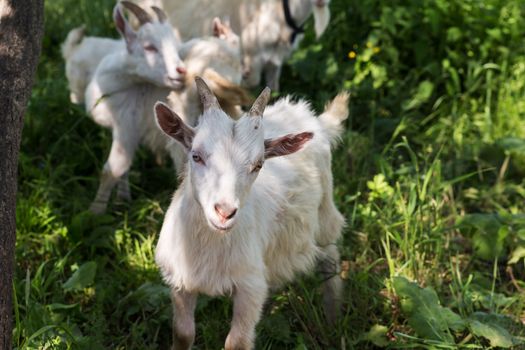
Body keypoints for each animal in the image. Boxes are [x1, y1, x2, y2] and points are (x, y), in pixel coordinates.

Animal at [154, 77, 346, 350]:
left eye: (258, 165)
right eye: (196, 156)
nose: (224, 212)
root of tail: (310, 116)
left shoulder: (250, 287)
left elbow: (237, 342)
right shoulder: (181, 281)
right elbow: (183, 333)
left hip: (324, 212)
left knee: (329, 257)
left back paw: (332, 319)